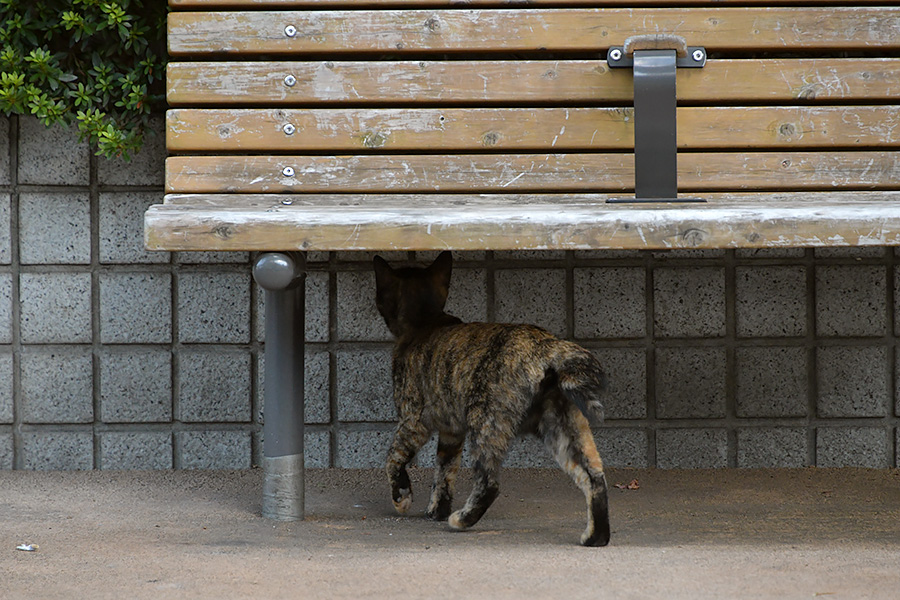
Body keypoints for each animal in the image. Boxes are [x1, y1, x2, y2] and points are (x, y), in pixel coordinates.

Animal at [372, 251, 612, 548]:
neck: (424, 322)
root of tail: (547, 344)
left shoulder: (412, 420)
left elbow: (393, 459)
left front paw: (402, 499)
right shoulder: (451, 432)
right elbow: (444, 472)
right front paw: (436, 510)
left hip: (486, 421)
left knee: (490, 482)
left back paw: (461, 519)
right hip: (563, 428)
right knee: (594, 477)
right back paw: (596, 538)